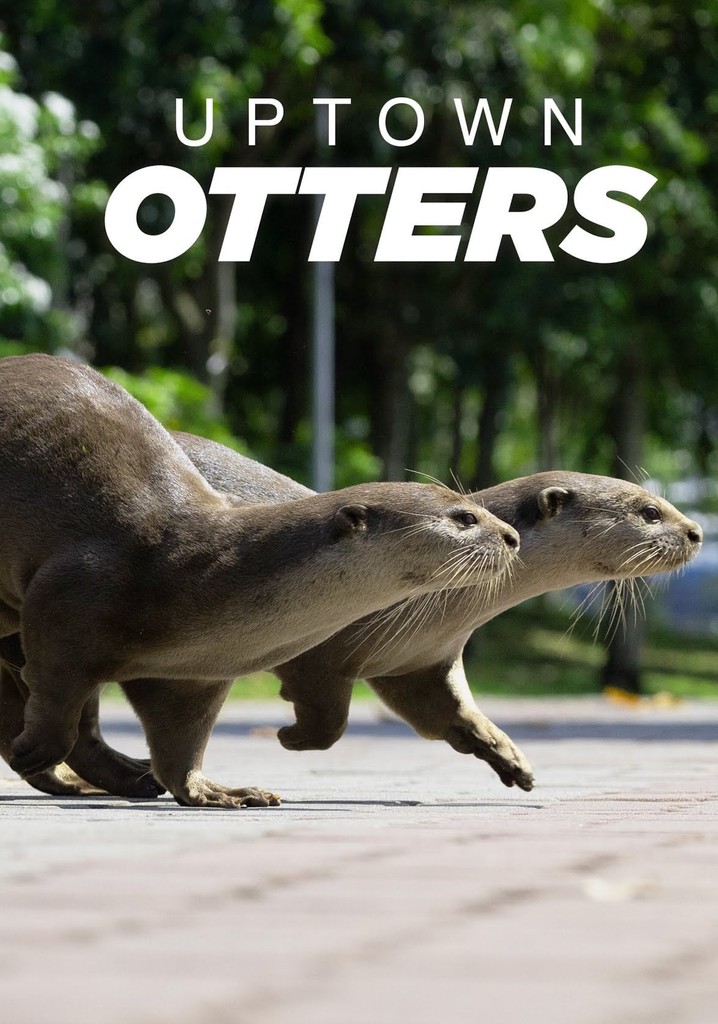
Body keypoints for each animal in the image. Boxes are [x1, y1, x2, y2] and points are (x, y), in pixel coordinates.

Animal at [0, 354, 520, 808]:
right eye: (465, 517)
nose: (512, 536)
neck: (197, 573)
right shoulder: (68, 597)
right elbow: (56, 692)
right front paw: (34, 748)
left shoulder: (190, 676)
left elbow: (181, 741)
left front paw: (214, 791)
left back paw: (126, 777)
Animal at [3, 431, 702, 800]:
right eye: (647, 512)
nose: (696, 531)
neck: (435, 611)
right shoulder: (323, 654)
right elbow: (330, 721)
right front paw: (289, 737)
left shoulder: (421, 662)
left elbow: (455, 715)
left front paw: (511, 759)